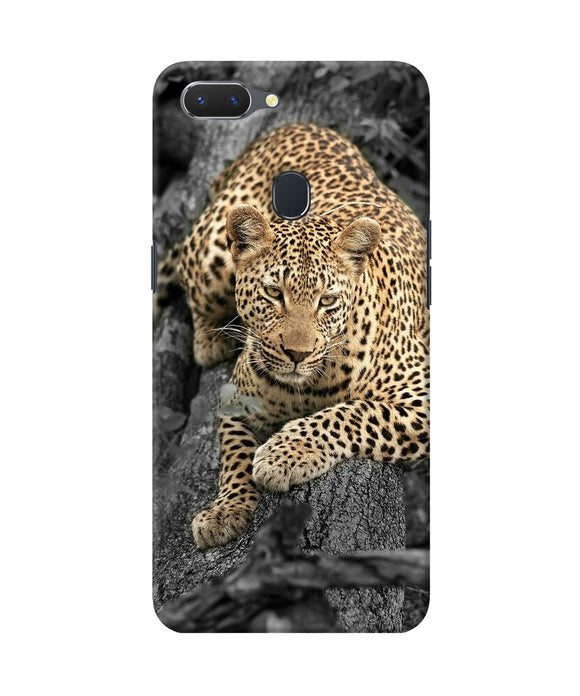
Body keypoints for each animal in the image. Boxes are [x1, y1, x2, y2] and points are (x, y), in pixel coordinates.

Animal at [165, 123, 429, 550]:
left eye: (327, 300)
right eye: (275, 293)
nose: (297, 354)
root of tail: (295, 125)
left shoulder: (421, 395)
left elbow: (353, 413)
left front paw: (282, 455)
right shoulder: (234, 400)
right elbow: (234, 455)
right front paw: (225, 510)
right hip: (212, 254)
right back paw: (211, 340)